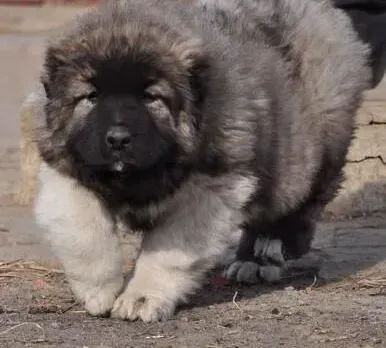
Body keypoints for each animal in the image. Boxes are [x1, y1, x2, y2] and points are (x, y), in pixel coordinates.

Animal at [34, 0, 370, 320]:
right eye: (91, 96)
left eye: (150, 97)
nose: (117, 138)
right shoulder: (67, 169)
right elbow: (82, 231)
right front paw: (98, 290)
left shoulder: (211, 188)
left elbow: (165, 252)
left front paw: (142, 298)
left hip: (306, 152)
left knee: (299, 201)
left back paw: (266, 251)